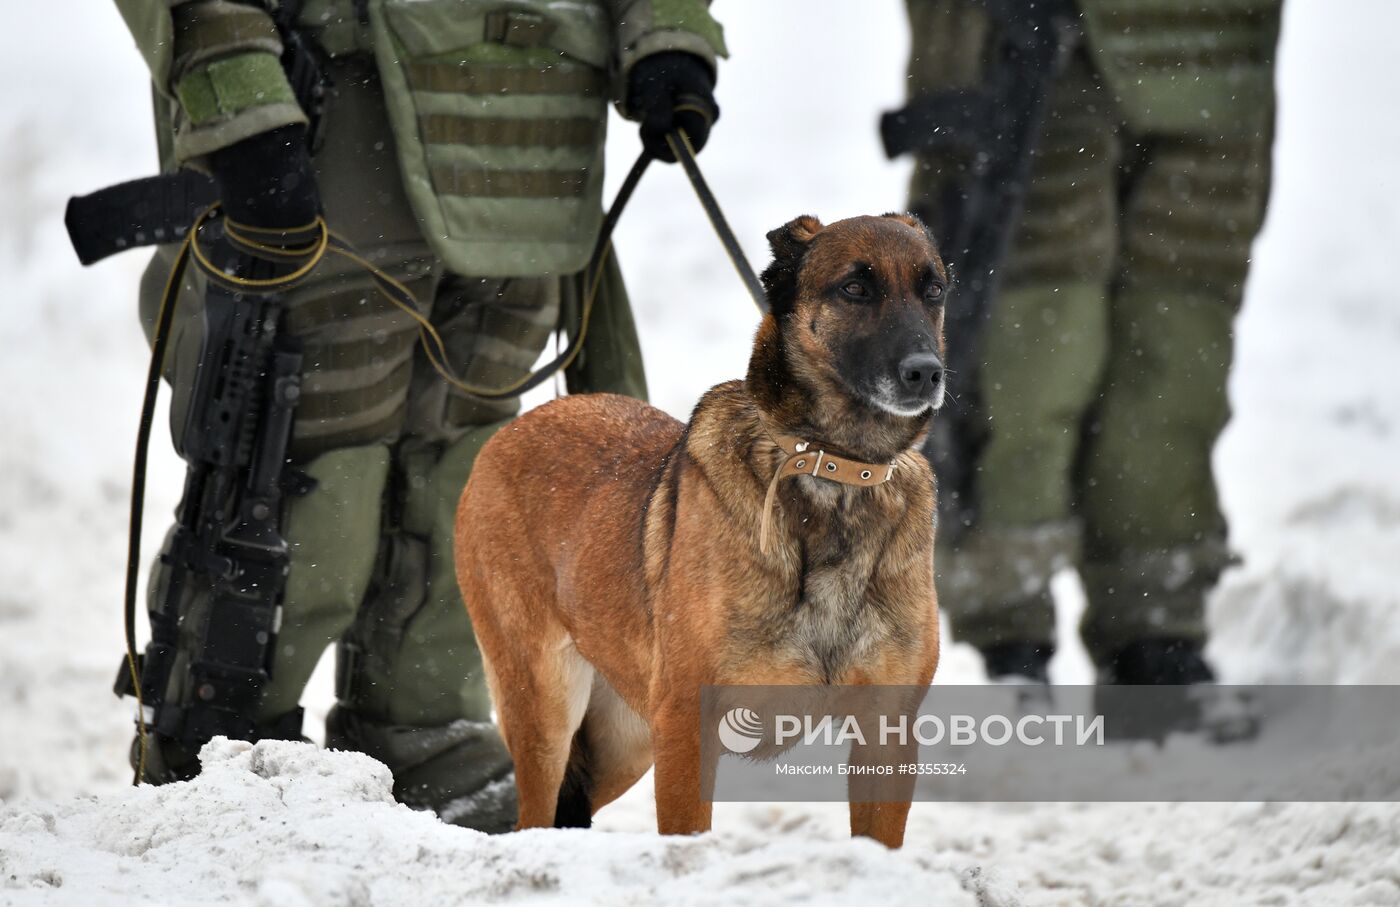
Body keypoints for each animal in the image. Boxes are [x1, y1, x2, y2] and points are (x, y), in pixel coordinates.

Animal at [453, 214, 946, 851]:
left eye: (933, 290)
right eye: (855, 289)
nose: (926, 372)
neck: (834, 470)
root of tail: (511, 430)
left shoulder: (886, 730)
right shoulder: (688, 723)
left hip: (623, 740)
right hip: (547, 703)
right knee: (532, 816)